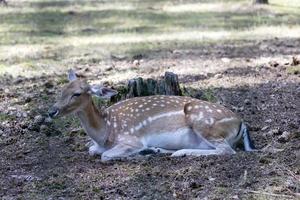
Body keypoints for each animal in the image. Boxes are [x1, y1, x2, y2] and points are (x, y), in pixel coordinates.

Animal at [48, 69, 255, 162]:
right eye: (62, 90)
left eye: (77, 93)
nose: (51, 111)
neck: (106, 133)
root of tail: (241, 123)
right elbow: (92, 150)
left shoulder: (131, 139)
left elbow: (105, 156)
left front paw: (136, 154)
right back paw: (156, 150)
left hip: (203, 122)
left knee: (227, 150)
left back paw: (178, 152)